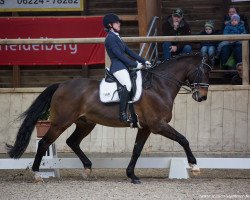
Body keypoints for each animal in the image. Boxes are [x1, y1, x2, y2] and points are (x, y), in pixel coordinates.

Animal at [6, 53, 211, 183]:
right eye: (205, 71)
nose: (202, 97)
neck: (159, 86)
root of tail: (61, 85)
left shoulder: (145, 127)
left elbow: (136, 150)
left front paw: (131, 175)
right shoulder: (157, 125)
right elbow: (183, 139)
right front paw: (194, 166)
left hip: (85, 123)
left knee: (72, 141)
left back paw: (87, 169)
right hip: (60, 122)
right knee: (44, 143)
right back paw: (37, 175)